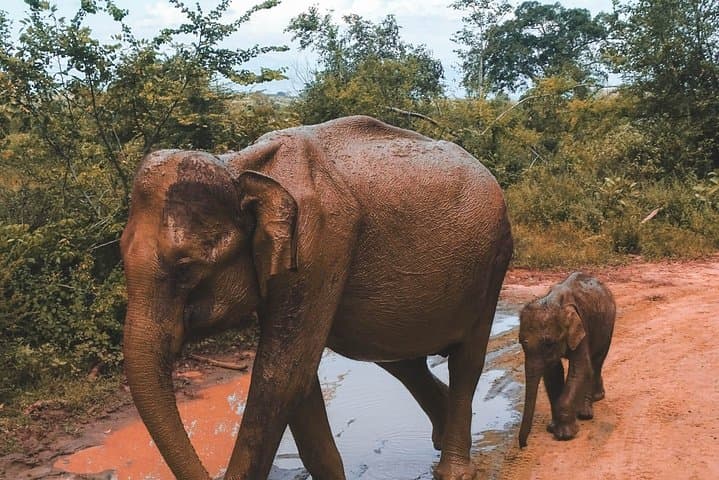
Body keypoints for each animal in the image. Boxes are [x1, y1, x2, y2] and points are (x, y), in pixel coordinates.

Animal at [120, 115, 513, 480]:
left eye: (185, 267)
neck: (239, 166)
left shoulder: (319, 239)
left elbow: (282, 377)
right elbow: (300, 380)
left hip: (494, 259)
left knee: (466, 359)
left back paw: (453, 467)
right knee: (397, 357)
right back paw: (441, 432)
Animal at [517, 272, 616, 447]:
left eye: (549, 344)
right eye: (521, 342)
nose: (524, 445)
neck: (552, 301)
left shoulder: (581, 326)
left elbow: (580, 369)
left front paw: (565, 435)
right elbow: (552, 374)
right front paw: (552, 428)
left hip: (608, 323)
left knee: (596, 362)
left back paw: (587, 411)